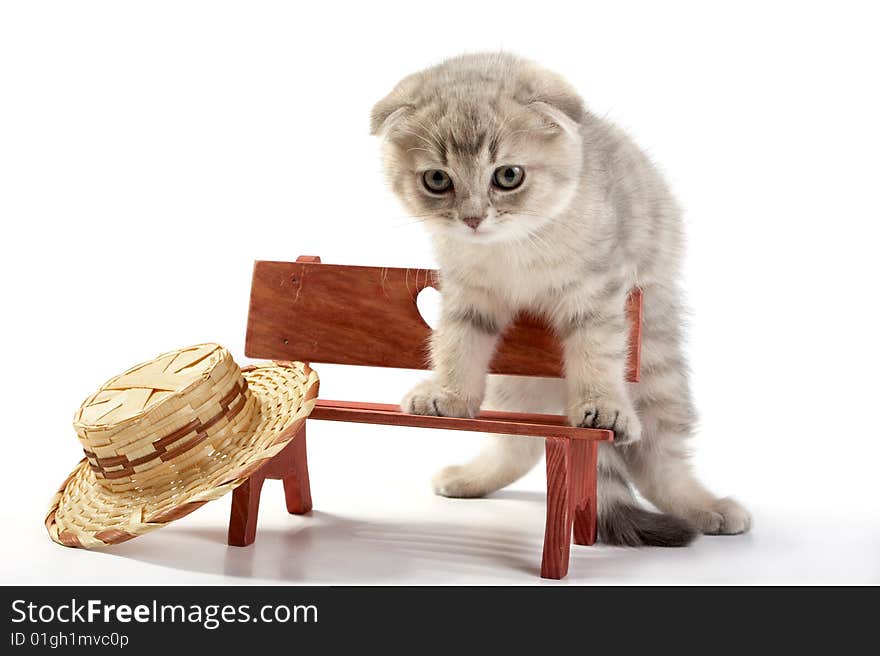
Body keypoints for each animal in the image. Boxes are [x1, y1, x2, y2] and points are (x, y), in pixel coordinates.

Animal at [372, 51, 748, 544]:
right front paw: (449, 393)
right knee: (518, 442)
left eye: (508, 176)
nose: (472, 218)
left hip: (655, 357)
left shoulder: (598, 292)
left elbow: (596, 354)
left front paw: (602, 406)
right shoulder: (467, 294)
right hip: (513, 378)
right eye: (437, 179)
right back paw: (471, 478)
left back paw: (706, 507)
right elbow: (457, 343)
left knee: (660, 457)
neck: (512, 247)